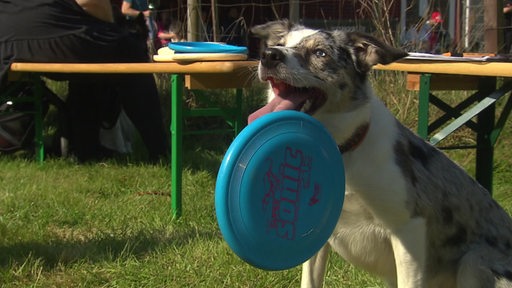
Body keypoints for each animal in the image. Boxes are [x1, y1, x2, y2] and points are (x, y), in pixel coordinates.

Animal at [248, 20, 512, 288]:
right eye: (280, 44)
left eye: (320, 53)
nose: (268, 55)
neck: (343, 151)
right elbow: (310, 281)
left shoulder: (409, 229)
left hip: (474, 261)